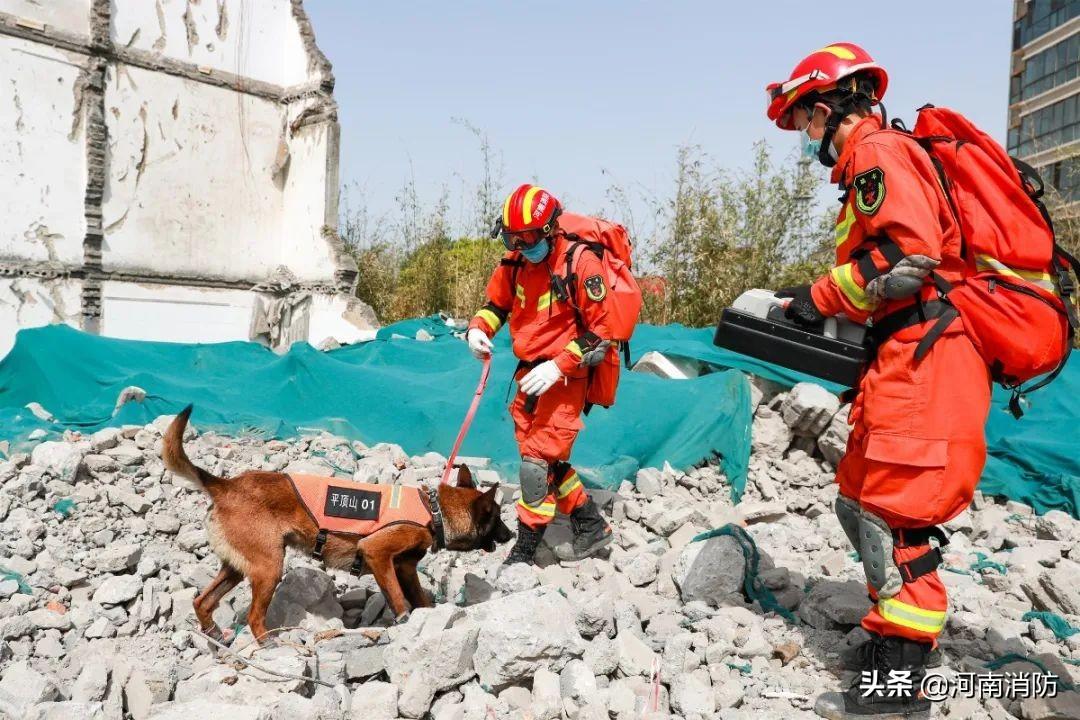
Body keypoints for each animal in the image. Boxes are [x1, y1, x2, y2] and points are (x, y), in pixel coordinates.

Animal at [159, 405, 514, 647]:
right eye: (497, 517)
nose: (511, 535)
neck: (434, 510)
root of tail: (225, 485)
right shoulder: (377, 553)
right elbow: (399, 599)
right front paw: (404, 621)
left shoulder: (405, 567)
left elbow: (418, 597)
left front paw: (427, 617)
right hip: (269, 567)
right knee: (252, 615)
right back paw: (268, 642)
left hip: (236, 567)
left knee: (202, 601)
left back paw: (214, 632)